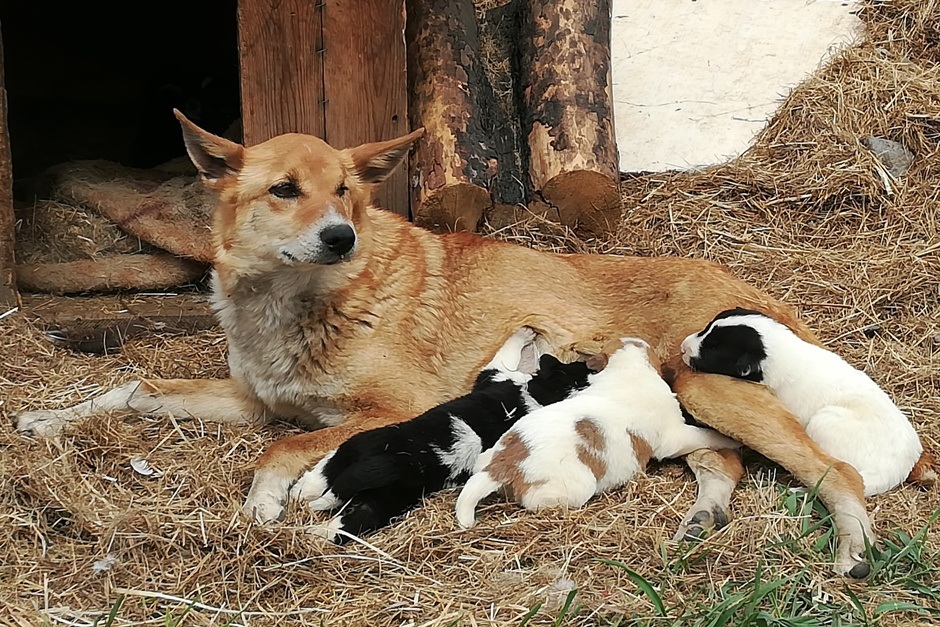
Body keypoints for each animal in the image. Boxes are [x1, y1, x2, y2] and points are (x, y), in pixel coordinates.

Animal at [290, 328, 592, 544]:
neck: (541, 394)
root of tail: (393, 465)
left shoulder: (493, 375)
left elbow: (504, 352)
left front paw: (525, 333)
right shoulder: (497, 377)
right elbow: (507, 351)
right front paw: (527, 332)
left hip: (363, 454)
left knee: (329, 482)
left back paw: (306, 511)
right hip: (378, 483)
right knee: (337, 506)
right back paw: (307, 512)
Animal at [456, 336, 740, 528]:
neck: (628, 369)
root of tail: (501, 465)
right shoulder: (675, 436)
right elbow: (705, 436)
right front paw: (729, 439)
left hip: (488, 454)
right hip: (574, 488)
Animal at [680, 306, 928, 498]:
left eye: (713, 349)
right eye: (707, 327)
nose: (683, 347)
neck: (780, 349)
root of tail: (896, 470)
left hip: (823, 422)